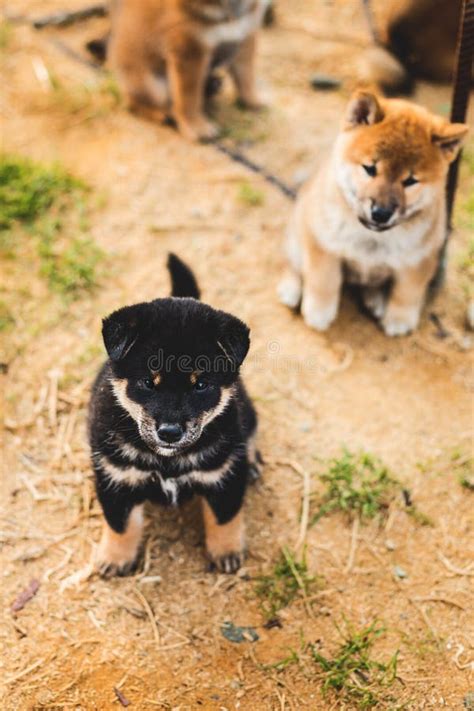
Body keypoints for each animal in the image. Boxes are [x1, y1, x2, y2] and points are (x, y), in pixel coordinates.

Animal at [89, 256, 260, 580]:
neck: (167, 463)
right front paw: (114, 558)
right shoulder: (116, 477)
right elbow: (120, 525)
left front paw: (226, 552)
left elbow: (224, 519)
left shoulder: (224, 474)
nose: (169, 432)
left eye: (200, 384)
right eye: (148, 382)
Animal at [108, 0, 270, 142]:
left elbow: (246, 76)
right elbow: (189, 98)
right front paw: (197, 126)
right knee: (135, 103)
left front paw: (253, 100)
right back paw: (161, 113)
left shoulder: (246, 37)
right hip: (152, 85)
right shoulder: (190, 51)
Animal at [278, 91, 466, 336]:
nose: (381, 213)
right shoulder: (323, 244)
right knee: (293, 264)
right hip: (297, 232)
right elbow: (323, 280)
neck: (372, 238)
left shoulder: (419, 258)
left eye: (410, 181)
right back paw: (290, 288)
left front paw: (399, 319)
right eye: (370, 168)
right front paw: (319, 312)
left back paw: (376, 300)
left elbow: (408, 291)